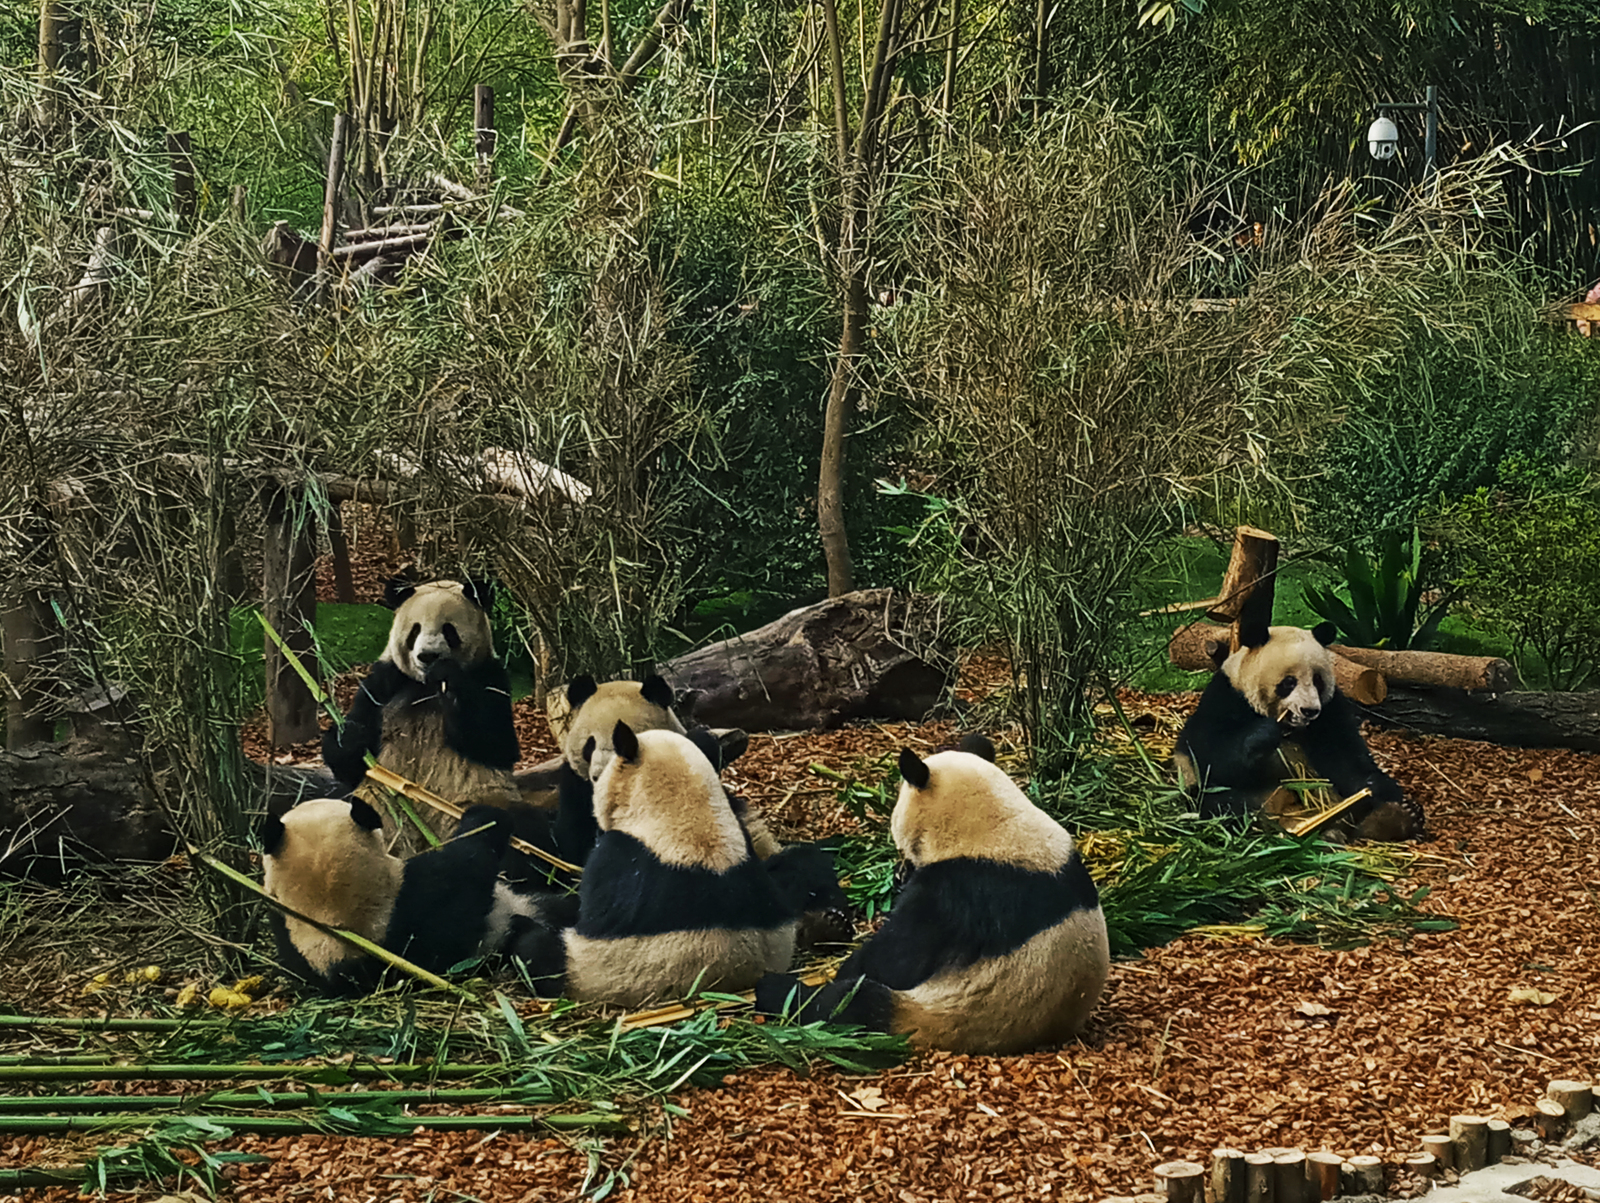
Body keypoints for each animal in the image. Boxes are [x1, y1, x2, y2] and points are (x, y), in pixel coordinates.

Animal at [321, 579, 521, 851]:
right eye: (415, 630)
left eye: (449, 630)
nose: (428, 656)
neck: (426, 685)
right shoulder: (384, 682)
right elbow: (353, 764)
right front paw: (350, 737)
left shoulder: (490, 676)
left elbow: (497, 744)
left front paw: (449, 680)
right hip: (381, 804)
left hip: (477, 798)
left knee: (504, 823)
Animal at [752, 732, 1107, 1049]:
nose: (900, 868)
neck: (993, 826)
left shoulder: (959, 892)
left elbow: (898, 955)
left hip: (935, 1010)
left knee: (850, 1004)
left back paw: (776, 990)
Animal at [1171, 620, 1433, 838]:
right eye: (1289, 682)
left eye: (1317, 680)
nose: (1309, 711)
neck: (1291, 726)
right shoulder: (1226, 699)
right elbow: (1213, 758)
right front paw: (1264, 734)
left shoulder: (1329, 711)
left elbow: (1343, 756)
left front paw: (1375, 786)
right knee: (1221, 802)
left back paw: (1397, 816)